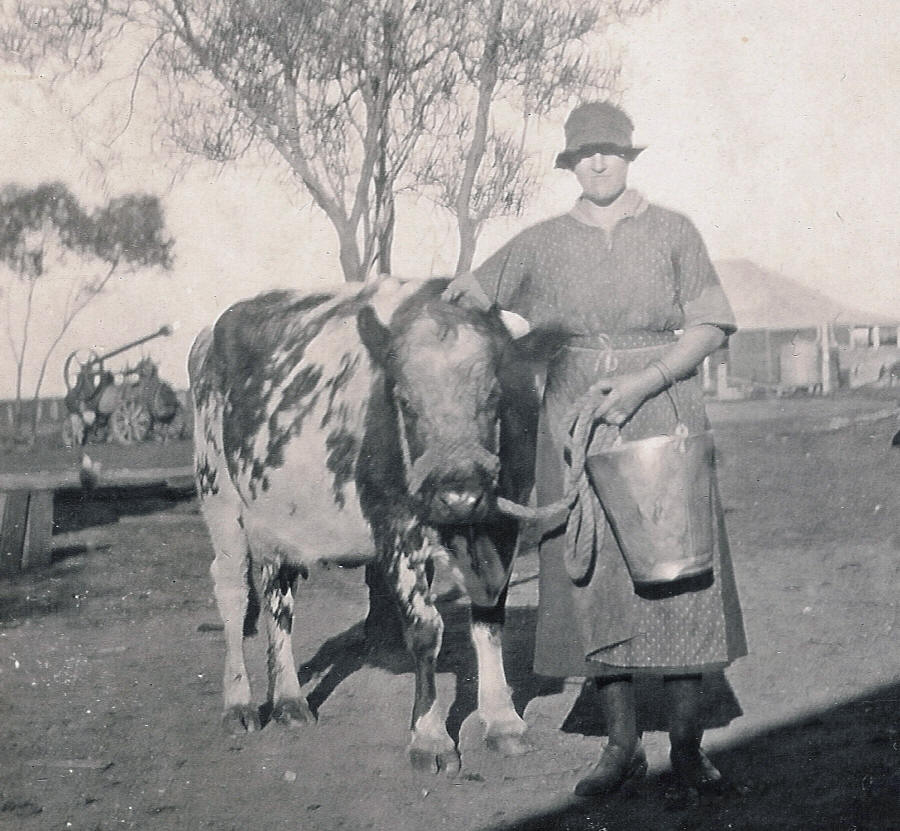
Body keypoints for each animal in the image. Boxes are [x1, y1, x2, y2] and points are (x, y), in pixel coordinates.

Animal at [188, 276, 564, 774]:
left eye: (493, 396)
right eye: (403, 400)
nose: (457, 494)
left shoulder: (501, 525)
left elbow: (489, 619)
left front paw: (503, 721)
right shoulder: (395, 527)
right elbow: (425, 629)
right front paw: (430, 738)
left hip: (273, 516)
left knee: (277, 598)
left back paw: (289, 701)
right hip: (219, 493)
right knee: (232, 592)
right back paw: (239, 704)